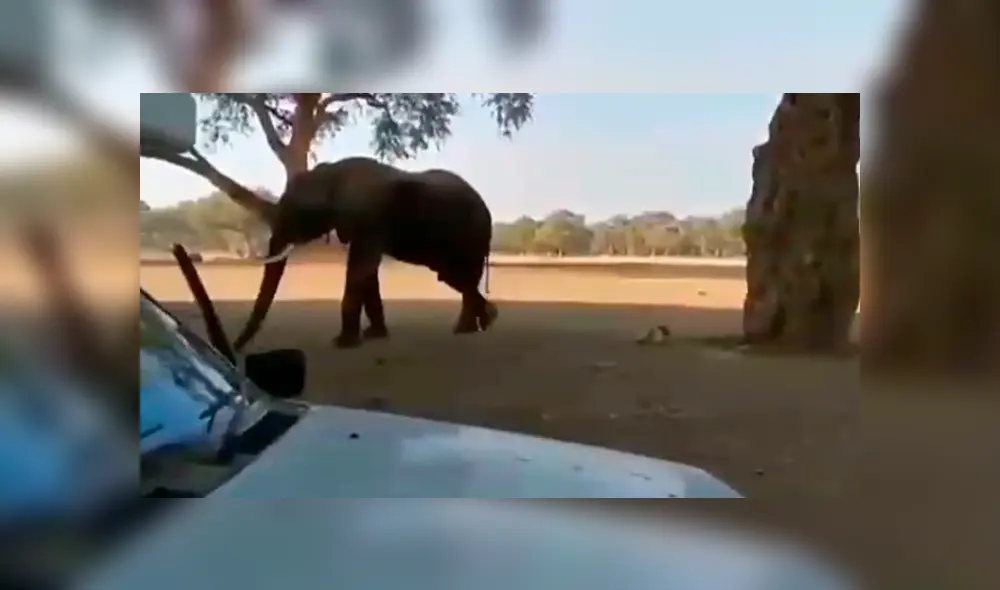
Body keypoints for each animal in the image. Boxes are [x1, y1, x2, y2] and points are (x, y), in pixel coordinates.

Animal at [232, 156, 497, 351]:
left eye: (295, 211)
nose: (235, 348)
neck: (332, 173)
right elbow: (367, 272)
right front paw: (374, 335)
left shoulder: (368, 218)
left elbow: (361, 268)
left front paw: (343, 343)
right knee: (457, 278)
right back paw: (479, 322)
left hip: (471, 234)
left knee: (456, 276)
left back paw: (478, 322)